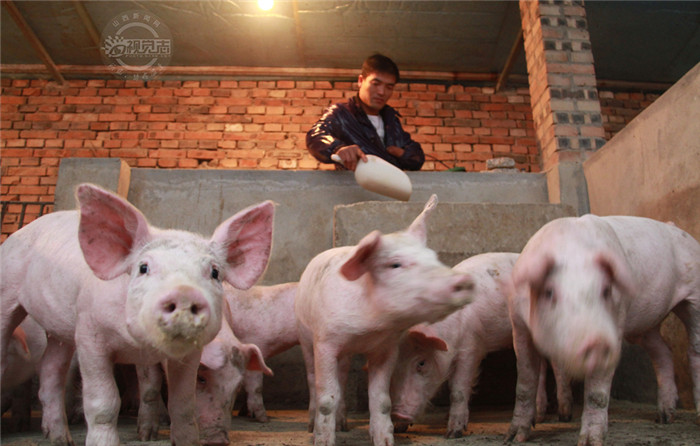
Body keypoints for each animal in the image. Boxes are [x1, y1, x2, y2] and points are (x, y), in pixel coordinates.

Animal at [1, 183, 274, 444]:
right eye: (143, 267)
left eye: (215, 272)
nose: (184, 293)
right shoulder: (90, 335)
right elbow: (104, 403)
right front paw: (135, 437)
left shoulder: (187, 355)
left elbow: (182, 405)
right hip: (9, 294)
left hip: (59, 331)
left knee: (50, 372)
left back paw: (60, 439)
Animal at [292, 195, 478, 446]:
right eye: (395, 264)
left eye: (434, 258)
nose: (465, 281)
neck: (369, 329)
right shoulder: (325, 342)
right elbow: (326, 399)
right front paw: (323, 442)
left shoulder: (386, 348)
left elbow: (381, 400)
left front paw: (385, 441)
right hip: (304, 335)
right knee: (313, 379)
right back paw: (312, 427)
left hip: (345, 355)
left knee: (342, 378)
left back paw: (343, 426)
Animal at [392, 253, 572, 438]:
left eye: (421, 363)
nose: (397, 413)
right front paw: (399, 428)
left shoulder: (470, 347)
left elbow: (458, 390)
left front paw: (453, 433)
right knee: (540, 367)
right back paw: (539, 417)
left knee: (557, 366)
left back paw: (564, 416)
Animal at [506, 214, 700, 444]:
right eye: (549, 292)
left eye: (606, 290)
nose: (597, 342)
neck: (573, 251)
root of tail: (677, 228)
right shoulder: (519, 325)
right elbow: (524, 383)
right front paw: (514, 438)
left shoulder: (617, 320)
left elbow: (597, 393)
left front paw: (591, 442)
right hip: (644, 325)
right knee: (663, 351)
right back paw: (663, 418)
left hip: (695, 295)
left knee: (693, 350)